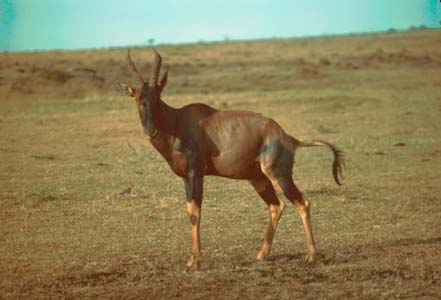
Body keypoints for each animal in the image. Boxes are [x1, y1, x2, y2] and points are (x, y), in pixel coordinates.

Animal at [117, 49, 344, 270]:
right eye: (138, 98)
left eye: (157, 97)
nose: (151, 131)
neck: (179, 122)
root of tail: (289, 138)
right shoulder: (185, 177)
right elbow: (191, 210)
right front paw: (191, 259)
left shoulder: (195, 173)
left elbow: (195, 212)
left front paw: (196, 261)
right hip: (257, 178)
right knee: (276, 205)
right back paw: (262, 254)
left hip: (279, 175)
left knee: (303, 203)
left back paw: (311, 256)